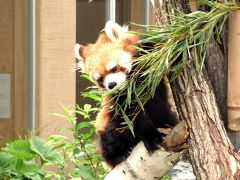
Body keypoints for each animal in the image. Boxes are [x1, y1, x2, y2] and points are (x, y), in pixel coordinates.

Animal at [75, 21, 178, 168]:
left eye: (113, 68)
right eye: (100, 79)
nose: (111, 84)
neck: (132, 83)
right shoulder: (122, 101)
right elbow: (136, 118)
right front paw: (152, 138)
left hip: (166, 115)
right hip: (110, 123)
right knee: (111, 137)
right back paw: (119, 156)